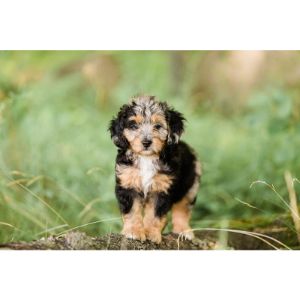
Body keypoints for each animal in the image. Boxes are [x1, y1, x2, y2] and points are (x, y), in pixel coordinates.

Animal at [108, 96, 202, 244]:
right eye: (134, 126)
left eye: (158, 126)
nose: (146, 142)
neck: (146, 158)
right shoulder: (128, 183)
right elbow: (132, 211)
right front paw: (134, 232)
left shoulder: (162, 188)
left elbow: (155, 214)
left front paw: (151, 234)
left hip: (191, 184)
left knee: (183, 208)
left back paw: (183, 231)